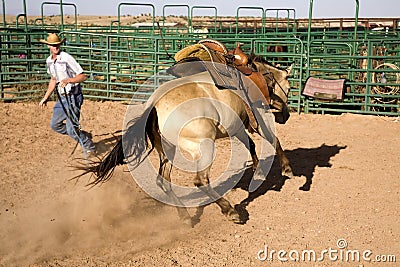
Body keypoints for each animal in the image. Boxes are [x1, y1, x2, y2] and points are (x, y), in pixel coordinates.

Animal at [79, 43, 294, 226]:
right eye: (290, 88)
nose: (286, 116)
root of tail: (155, 103)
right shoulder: (256, 116)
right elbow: (272, 139)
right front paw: (286, 168)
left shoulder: (237, 125)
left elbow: (251, 144)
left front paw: (259, 172)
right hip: (203, 145)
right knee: (200, 180)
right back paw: (231, 211)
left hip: (168, 149)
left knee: (163, 181)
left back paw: (185, 216)